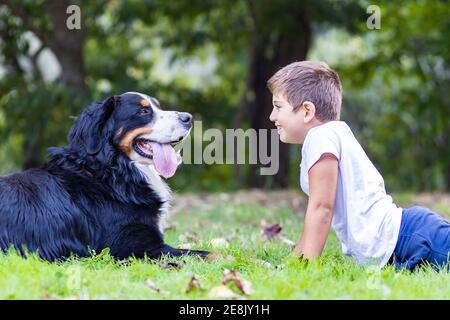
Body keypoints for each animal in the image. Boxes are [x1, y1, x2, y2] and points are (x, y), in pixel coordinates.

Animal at [0, 91, 211, 262]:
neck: (110, 172)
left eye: (157, 106)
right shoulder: (133, 247)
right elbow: (206, 254)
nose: (188, 118)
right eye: (143, 111)